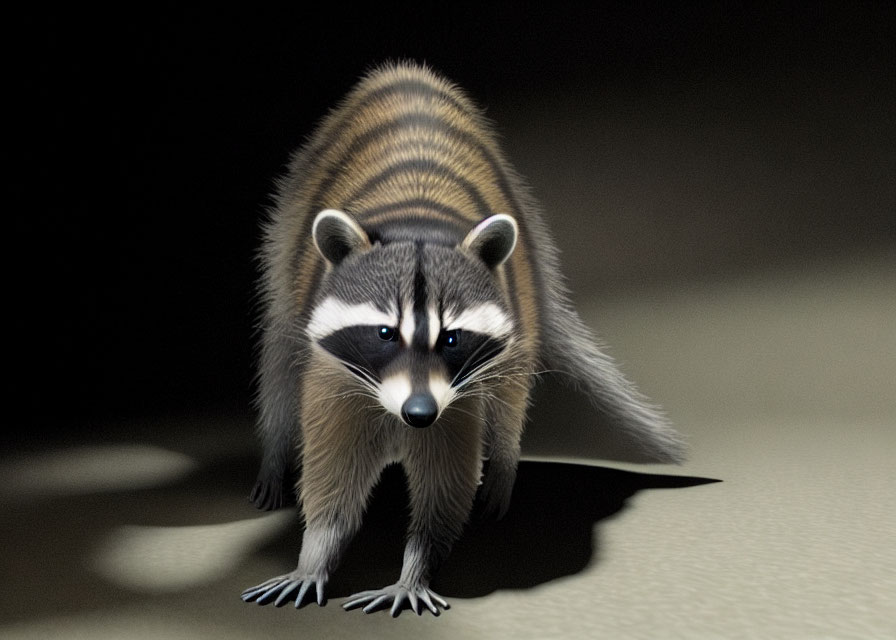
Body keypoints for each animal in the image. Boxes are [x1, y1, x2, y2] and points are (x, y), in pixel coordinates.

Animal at [242, 63, 684, 616]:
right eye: (385, 333)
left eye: (451, 339)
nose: (418, 414)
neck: (416, 224)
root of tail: (403, 73)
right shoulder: (334, 372)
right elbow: (333, 470)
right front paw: (315, 552)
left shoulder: (458, 389)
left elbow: (446, 479)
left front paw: (416, 565)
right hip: (286, 244)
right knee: (278, 358)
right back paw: (274, 457)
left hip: (526, 267)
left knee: (513, 391)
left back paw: (503, 469)